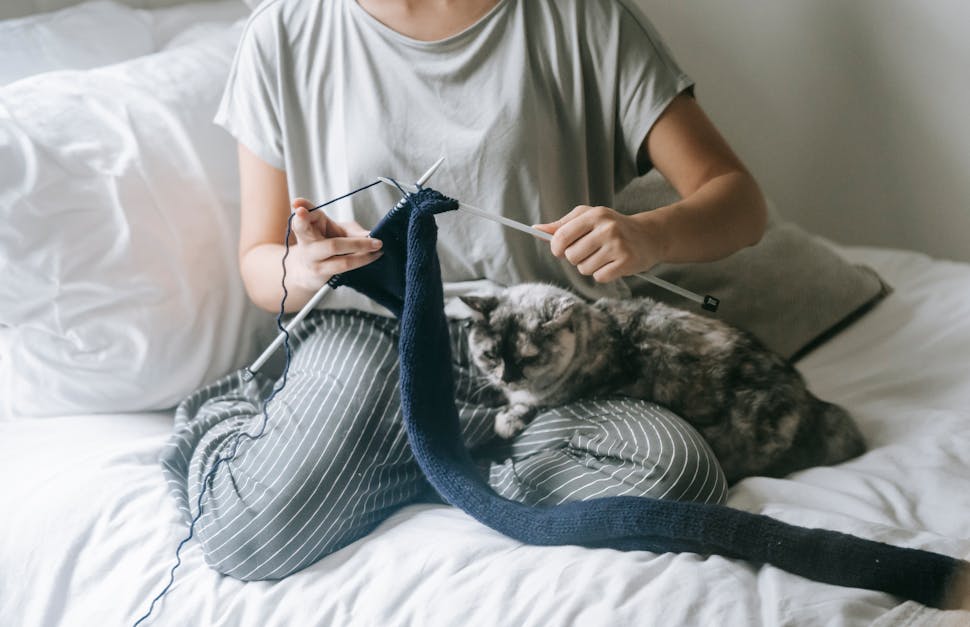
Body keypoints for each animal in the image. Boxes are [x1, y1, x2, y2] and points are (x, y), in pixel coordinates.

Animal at [458, 282, 864, 484]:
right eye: (491, 355)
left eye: (528, 358)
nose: (507, 377)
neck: (600, 331)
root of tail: (808, 402)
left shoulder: (562, 391)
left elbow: (529, 404)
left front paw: (507, 418)